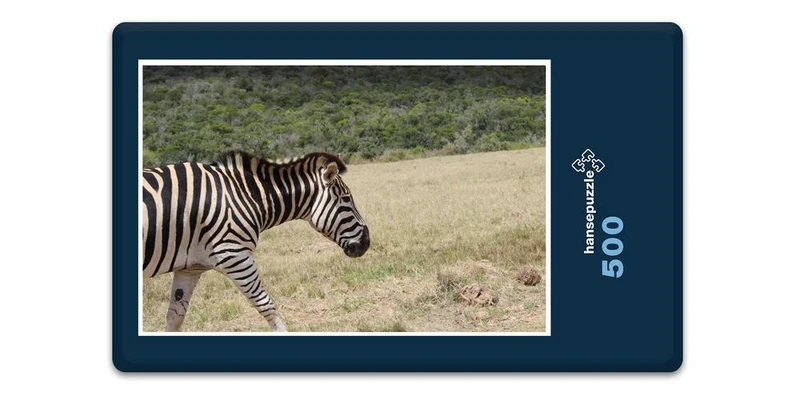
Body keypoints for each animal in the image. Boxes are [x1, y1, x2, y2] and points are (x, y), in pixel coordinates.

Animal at [142, 151, 370, 332]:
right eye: (346, 199)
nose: (367, 242)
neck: (246, 196)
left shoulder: (190, 268)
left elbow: (175, 317)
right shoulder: (234, 256)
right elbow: (266, 305)